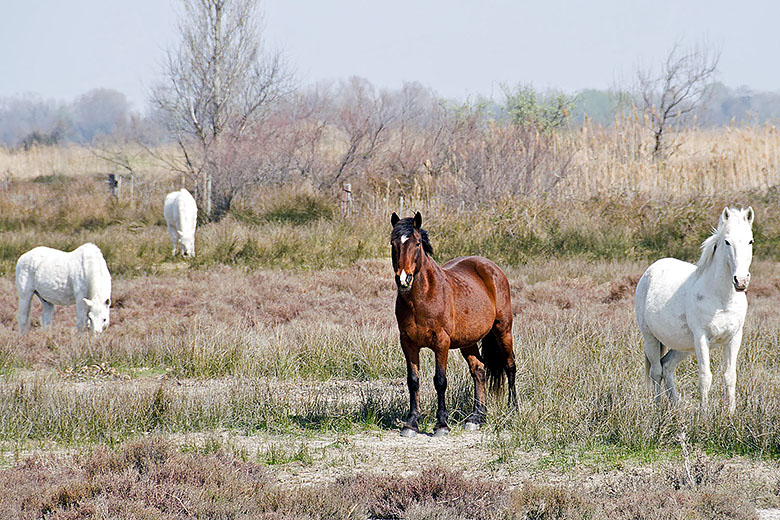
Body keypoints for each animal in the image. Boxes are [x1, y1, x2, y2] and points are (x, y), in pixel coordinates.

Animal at [390, 210, 516, 434]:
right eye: (393, 243)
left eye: (417, 243)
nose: (404, 279)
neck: (423, 297)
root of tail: (490, 267)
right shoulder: (408, 343)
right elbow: (413, 381)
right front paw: (411, 423)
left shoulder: (441, 342)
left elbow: (440, 381)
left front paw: (441, 424)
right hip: (469, 341)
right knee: (479, 370)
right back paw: (477, 418)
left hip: (503, 329)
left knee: (510, 366)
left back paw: (513, 411)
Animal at [632, 207, 756, 414]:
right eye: (727, 241)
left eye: (750, 241)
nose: (740, 281)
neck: (722, 299)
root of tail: (652, 268)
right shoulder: (701, 337)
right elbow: (705, 377)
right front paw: (704, 414)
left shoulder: (734, 337)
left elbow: (730, 376)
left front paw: (731, 414)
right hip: (651, 339)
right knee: (656, 371)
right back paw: (658, 408)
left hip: (684, 346)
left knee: (667, 366)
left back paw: (675, 406)